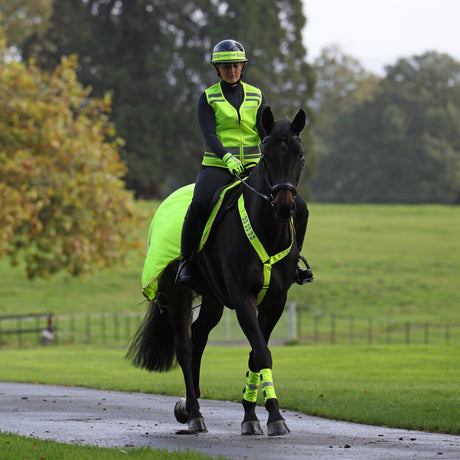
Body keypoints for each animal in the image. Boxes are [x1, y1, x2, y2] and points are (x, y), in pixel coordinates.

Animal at [127, 106, 310, 436]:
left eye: (300, 155)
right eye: (266, 157)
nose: (284, 206)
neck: (266, 229)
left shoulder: (276, 300)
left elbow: (255, 354)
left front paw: (251, 414)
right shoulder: (242, 297)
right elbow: (262, 351)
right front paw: (275, 417)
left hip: (212, 299)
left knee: (199, 336)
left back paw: (190, 406)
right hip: (177, 294)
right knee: (185, 347)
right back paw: (194, 413)